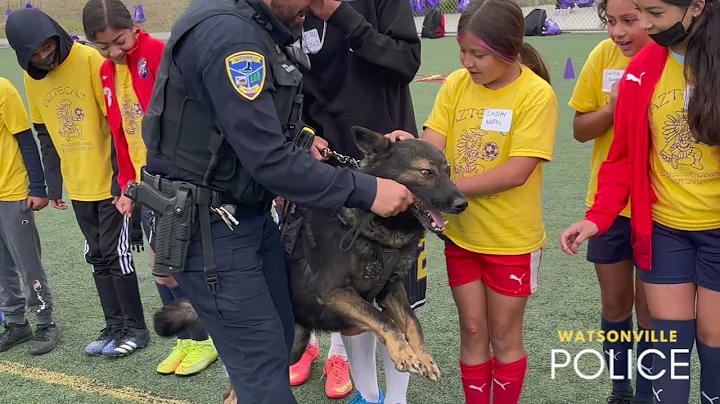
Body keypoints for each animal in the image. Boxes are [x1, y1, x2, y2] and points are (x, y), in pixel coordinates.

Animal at [153, 126, 466, 400]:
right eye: (426, 172)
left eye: (448, 171)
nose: (462, 203)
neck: (375, 224)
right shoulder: (336, 293)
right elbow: (385, 320)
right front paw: (404, 353)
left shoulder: (390, 288)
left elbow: (412, 322)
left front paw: (423, 356)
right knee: (234, 393)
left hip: (293, 344)